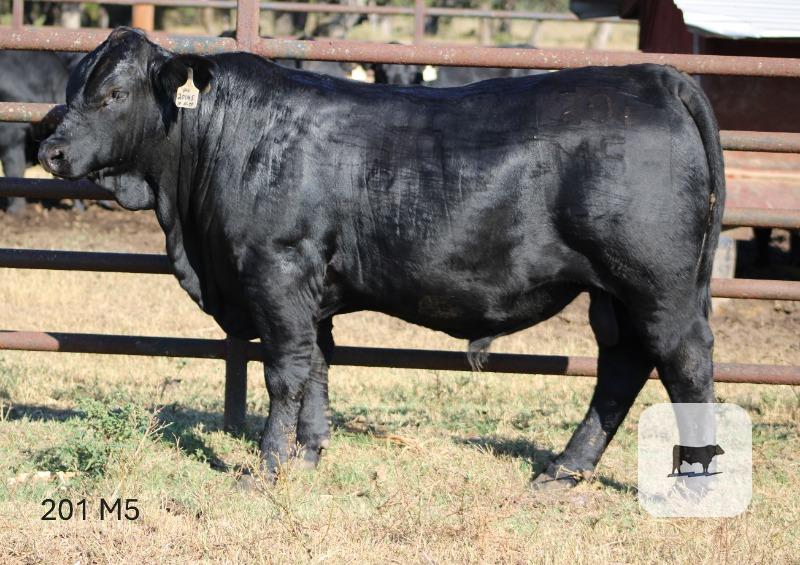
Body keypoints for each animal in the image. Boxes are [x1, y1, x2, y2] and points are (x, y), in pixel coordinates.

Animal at [39, 28, 725, 490]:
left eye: (114, 93)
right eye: (73, 87)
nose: (51, 152)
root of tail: (652, 77)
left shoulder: (275, 272)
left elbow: (283, 372)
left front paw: (267, 467)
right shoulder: (311, 294)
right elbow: (318, 366)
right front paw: (308, 455)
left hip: (657, 285)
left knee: (684, 363)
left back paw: (694, 480)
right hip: (616, 293)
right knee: (623, 367)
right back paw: (561, 470)